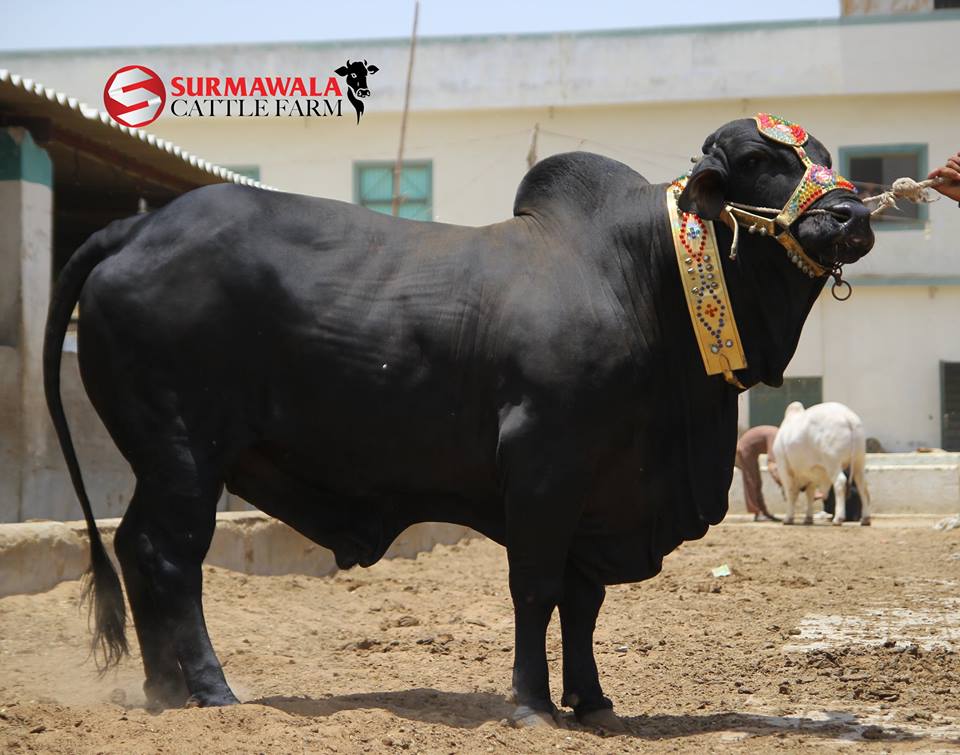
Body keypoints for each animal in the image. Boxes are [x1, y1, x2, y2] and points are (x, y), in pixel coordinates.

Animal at [43, 116, 872, 728]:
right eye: (759, 158)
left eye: (826, 156)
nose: (853, 213)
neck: (643, 280)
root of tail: (136, 230)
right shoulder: (545, 464)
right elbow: (536, 586)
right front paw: (533, 705)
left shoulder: (599, 492)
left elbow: (583, 602)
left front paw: (593, 700)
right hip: (186, 452)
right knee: (172, 559)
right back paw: (215, 692)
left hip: (159, 460)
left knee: (134, 546)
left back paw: (163, 693)